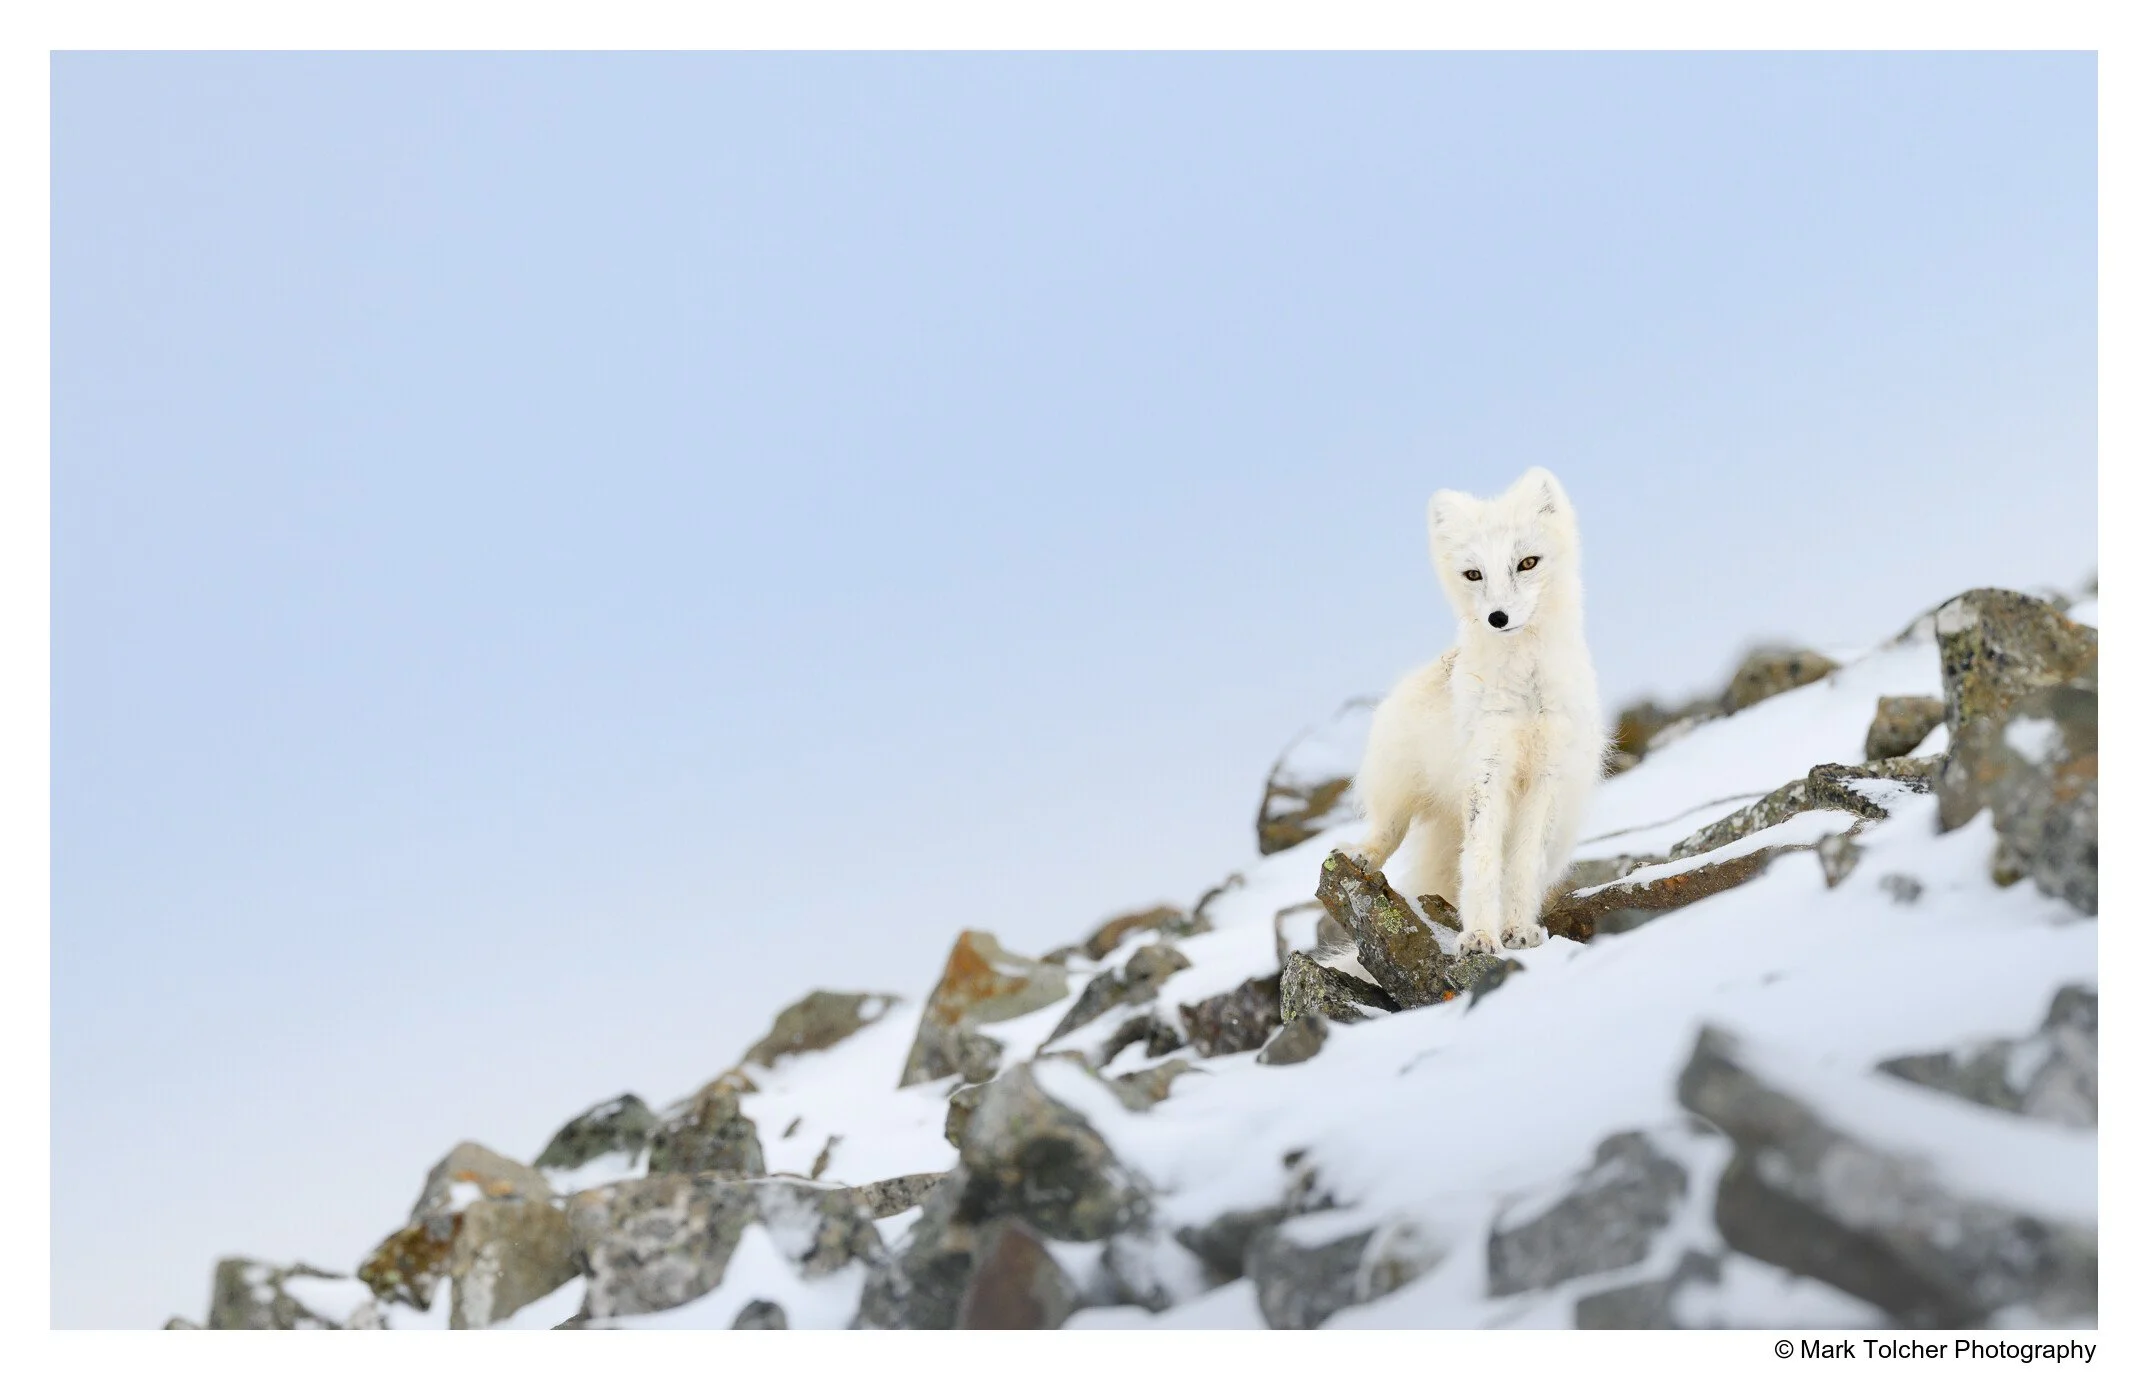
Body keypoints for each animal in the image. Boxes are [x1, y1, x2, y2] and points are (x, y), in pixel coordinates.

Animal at [1339, 467, 1608, 955]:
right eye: (1473, 574)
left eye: (1527, 563)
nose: (1497, 617)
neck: (1525, 694)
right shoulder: (1486, 766)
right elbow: (1481, 859)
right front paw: (1479, 936)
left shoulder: (1547, 775)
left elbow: (1521, 865)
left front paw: (1517, 930)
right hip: (1397, 779)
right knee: (1390, 829)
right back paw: (1362, 856)